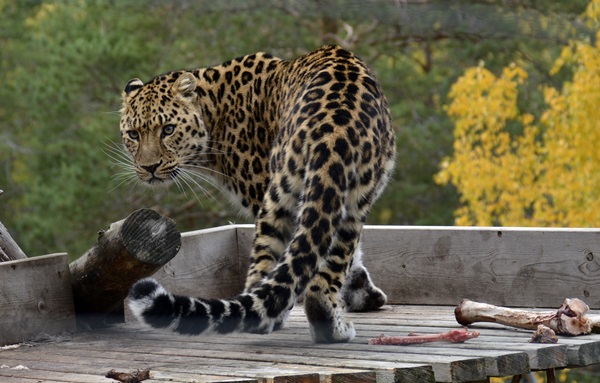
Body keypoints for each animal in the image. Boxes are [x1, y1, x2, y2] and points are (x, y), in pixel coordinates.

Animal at [120, 45, 396, 344]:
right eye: (133, 134)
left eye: (168, 129)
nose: (149, 167)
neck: (214, 115)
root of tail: (331, 133)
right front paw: (362, 293)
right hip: (334, 198)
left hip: (288, 195)